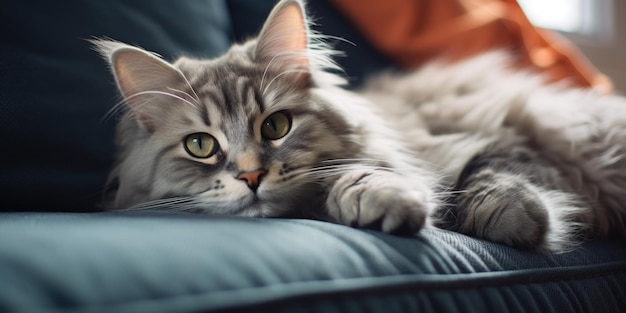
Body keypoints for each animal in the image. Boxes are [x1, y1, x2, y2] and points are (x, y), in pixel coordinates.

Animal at [94, 0, 624, 251]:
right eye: (201, 146)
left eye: (276, 126)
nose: (251, 176)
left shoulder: (500, 129)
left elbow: (490, 178)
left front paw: (513, 221)